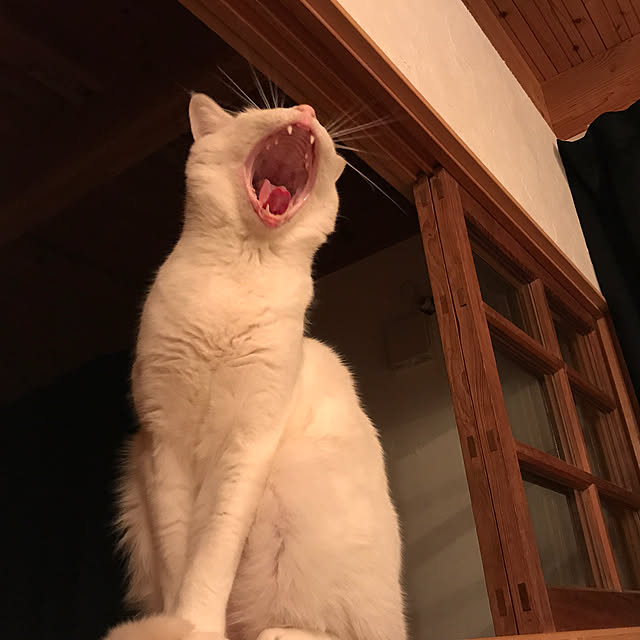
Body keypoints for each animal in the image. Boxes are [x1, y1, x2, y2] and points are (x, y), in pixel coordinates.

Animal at [104, 94, 406, 640]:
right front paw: (177, 624)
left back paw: (275, 633)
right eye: (254, 113)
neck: (237, 273)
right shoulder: (163, 445)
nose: (306, 108)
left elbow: (211, 557)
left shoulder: (247, 445)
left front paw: (197, 625)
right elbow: (178, 557)